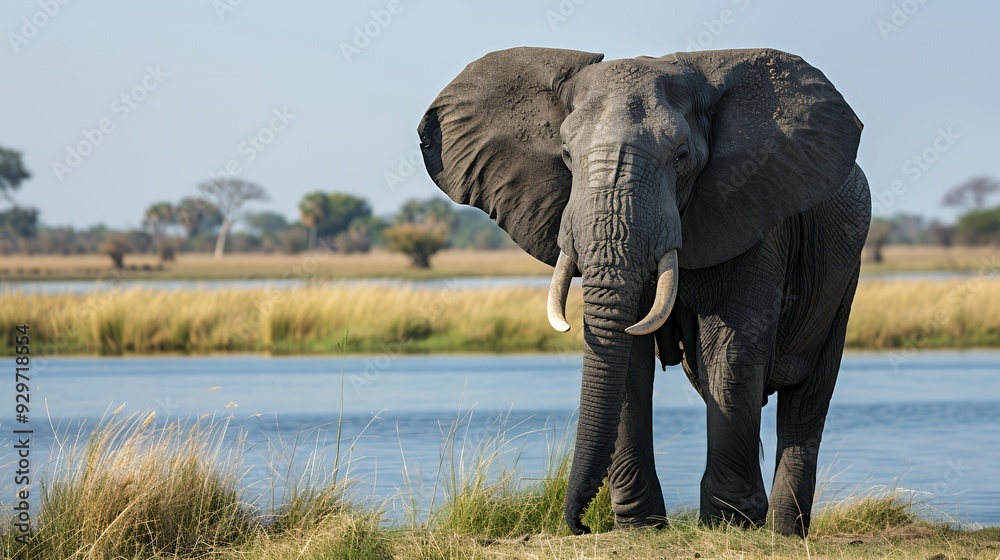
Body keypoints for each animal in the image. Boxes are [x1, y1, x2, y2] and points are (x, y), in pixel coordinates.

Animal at [416, 47, 870, 537]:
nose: (580, 526)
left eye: (682, 155)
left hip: (846, 274)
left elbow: (731, 350)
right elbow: (628, 360)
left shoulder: (758, 212)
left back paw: (784, 531)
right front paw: (640, 526)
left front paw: (728, 524)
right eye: (565, 154)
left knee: (808, 397)